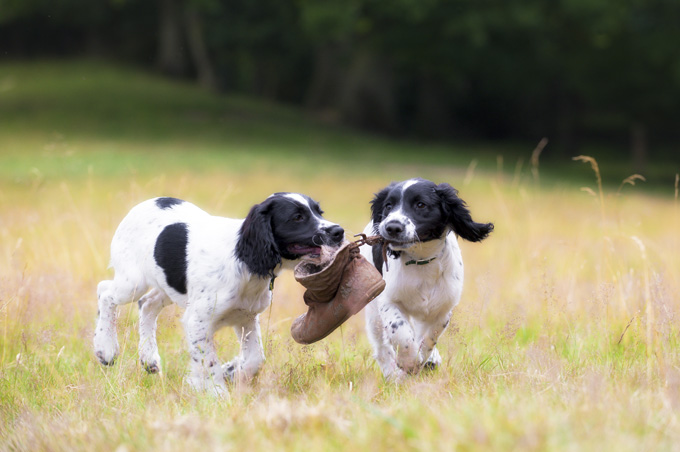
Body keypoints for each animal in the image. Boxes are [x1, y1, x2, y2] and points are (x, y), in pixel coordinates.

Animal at [93, 194, 342, 396]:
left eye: (319, 212)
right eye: (297, 217)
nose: (338, 232)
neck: (243, 260)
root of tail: (143, 204)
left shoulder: (246, 317)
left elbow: (255, 359)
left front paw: (231, 371)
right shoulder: (198, 321)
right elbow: (209, 363)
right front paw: (217, 394)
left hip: (167, 285)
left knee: (147, 304)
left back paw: (149, 358)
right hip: (132, 281)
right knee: (105, 291)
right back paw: (106, 348)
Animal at [362, 178, 494, 380]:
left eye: (420, 205)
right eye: (388, 206)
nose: (392, 227)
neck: (421, 261)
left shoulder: (442, 308)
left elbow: (430, 337)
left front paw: (425, 358)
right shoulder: (388, 301)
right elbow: (400, 332)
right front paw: (409, 362)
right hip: (373, 312)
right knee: (381, 348)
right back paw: (394, 376)